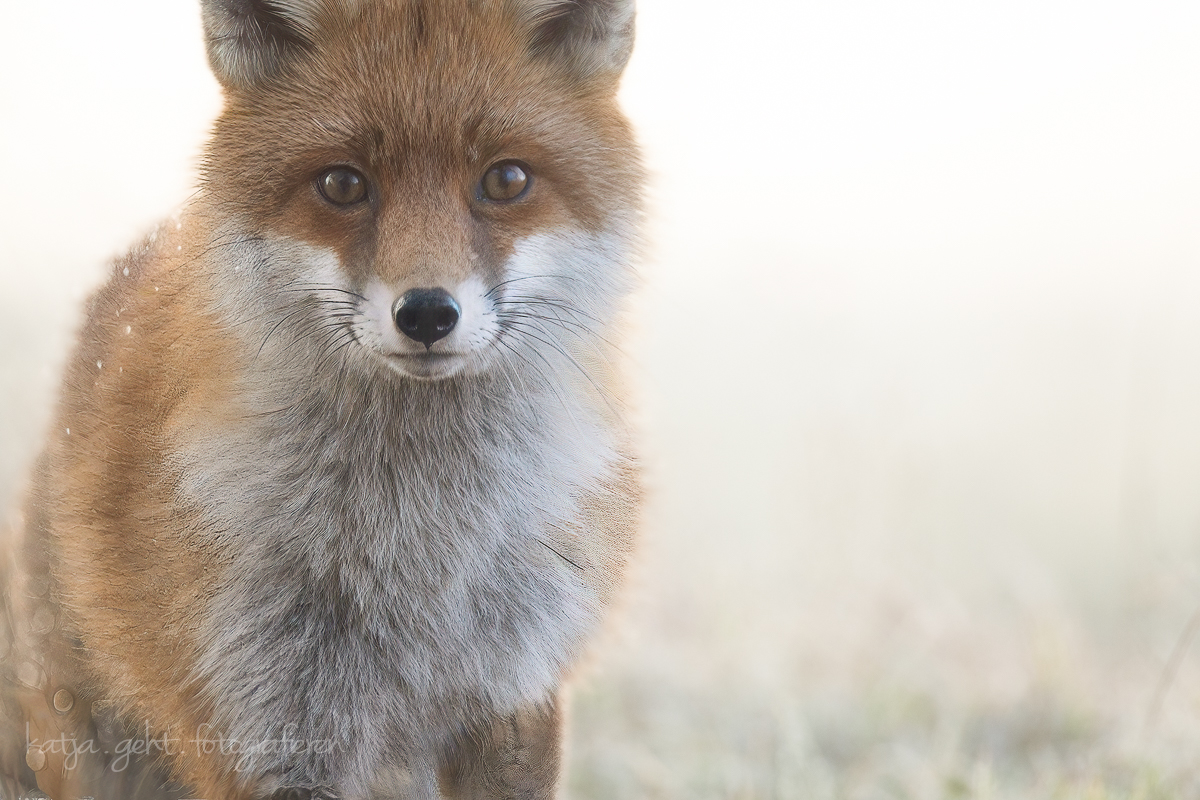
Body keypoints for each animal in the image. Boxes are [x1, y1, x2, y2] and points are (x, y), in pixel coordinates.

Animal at [0, 0, 643, 798]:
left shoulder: (512, 698)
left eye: (506, 180)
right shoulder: (267, 725)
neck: (418, 552)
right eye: (342, 184)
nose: (426, 313)